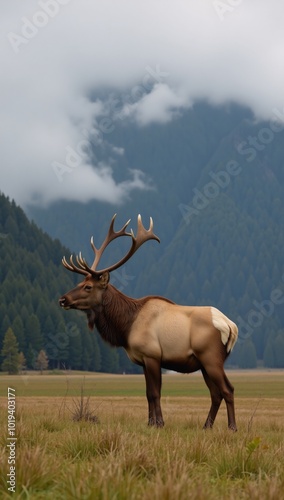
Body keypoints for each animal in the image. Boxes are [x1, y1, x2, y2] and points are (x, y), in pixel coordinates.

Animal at [58, 214, 239, 430]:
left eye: (88, 287)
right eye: (80, 283)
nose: (63, 300)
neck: (126, 327)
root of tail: (231, 326)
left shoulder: (152, 355)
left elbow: (155, 392)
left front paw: (159, 423)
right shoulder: (142, 360)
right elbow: (147, 394)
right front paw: (150, 422)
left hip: (211, 357)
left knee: (228, 389)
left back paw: (232, 427)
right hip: (203, 362)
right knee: (215, 393)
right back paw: (206, 426)